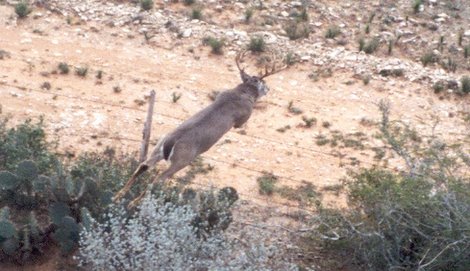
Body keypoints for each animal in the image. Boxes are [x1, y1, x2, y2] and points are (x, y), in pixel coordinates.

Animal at [114, 51, 288, 207]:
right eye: (263, 83)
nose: (269, 89)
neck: (242, 93)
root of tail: (170, 142)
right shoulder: (244, 116)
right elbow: (242, 123)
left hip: (158, 148)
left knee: (143, 166)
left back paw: (118, 196)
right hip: (182, 160)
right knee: (158, 178)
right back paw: (133, 203)